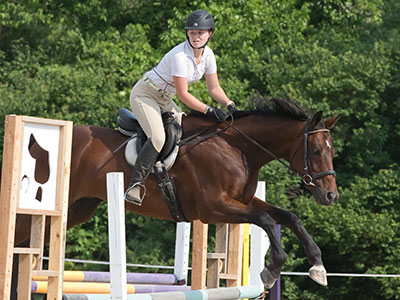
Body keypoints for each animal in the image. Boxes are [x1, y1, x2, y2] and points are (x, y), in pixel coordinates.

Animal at [15, 96, 340, 288]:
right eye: (315, 150)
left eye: (332, 151)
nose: (330, 196)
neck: (238, 148)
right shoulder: (214, 207)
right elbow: (266, 220)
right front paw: (271, 270)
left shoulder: (242, 201)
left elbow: (288, 217)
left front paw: (318, 267)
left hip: (78, 209)